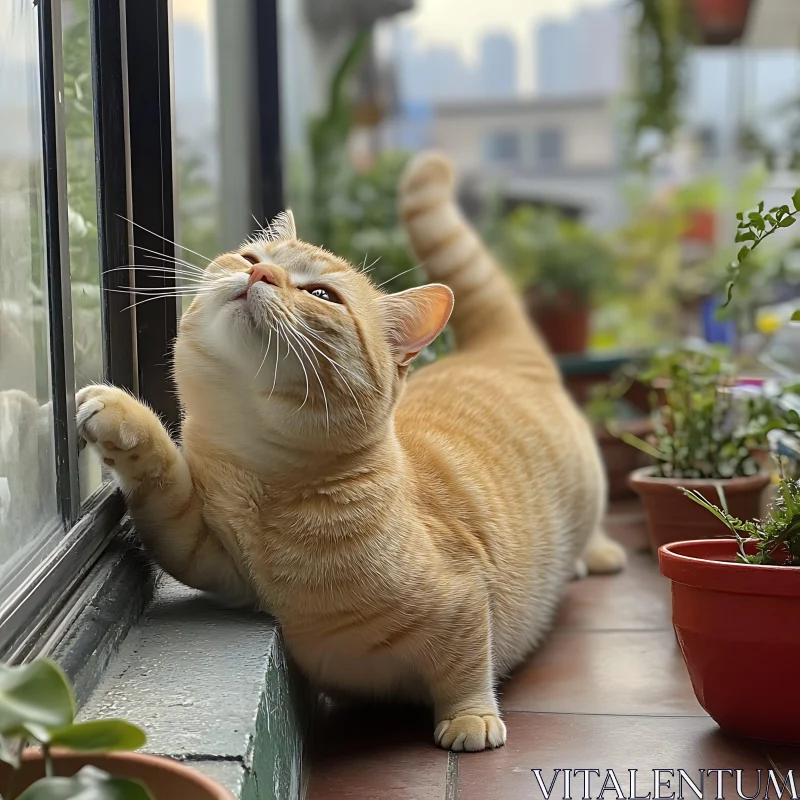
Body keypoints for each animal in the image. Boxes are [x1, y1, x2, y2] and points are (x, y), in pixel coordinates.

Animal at [76, 153, 624, 752]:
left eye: (321, 296)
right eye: (251, 258)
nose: (259, 275)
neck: (266, 485)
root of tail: (494, 349)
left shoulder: (462, 598)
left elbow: (465, 664)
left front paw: (470, 718)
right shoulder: (211, 556)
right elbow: (164, 494)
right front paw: (121, 417)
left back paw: (595, 555)